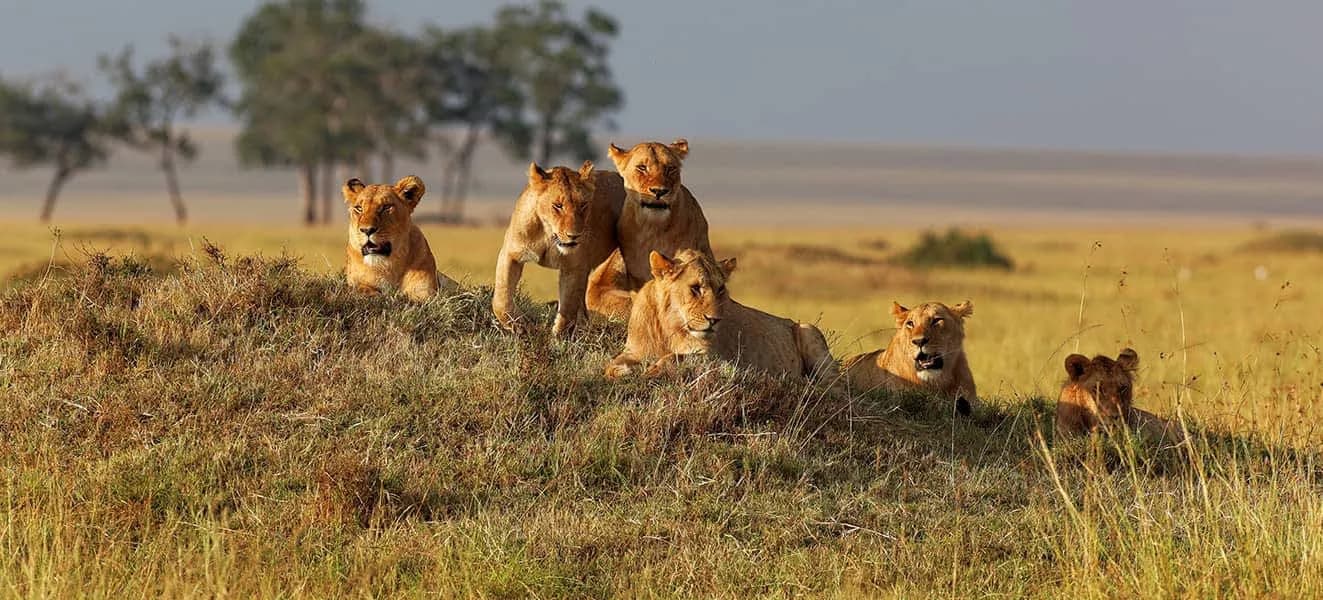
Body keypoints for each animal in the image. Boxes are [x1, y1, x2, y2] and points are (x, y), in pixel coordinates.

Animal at [493, 160, 625, 337]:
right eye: (558, 206)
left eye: (583, 205)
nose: (574, 235)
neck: (549, 236)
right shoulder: (511, 253)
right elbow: (501, 299)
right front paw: (520, 326)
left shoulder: (574, 266)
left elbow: (568, 305)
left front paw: (559, 336)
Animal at [604, 249, 836, 381]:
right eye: (695, 288)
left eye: (721, 289)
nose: (714, 320)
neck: (670, 328)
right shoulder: (634, 351)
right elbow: (612, 365)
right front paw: (623, 371)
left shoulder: (713, 358)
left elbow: (674, 357)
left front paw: (651, 371)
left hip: (809, 330)